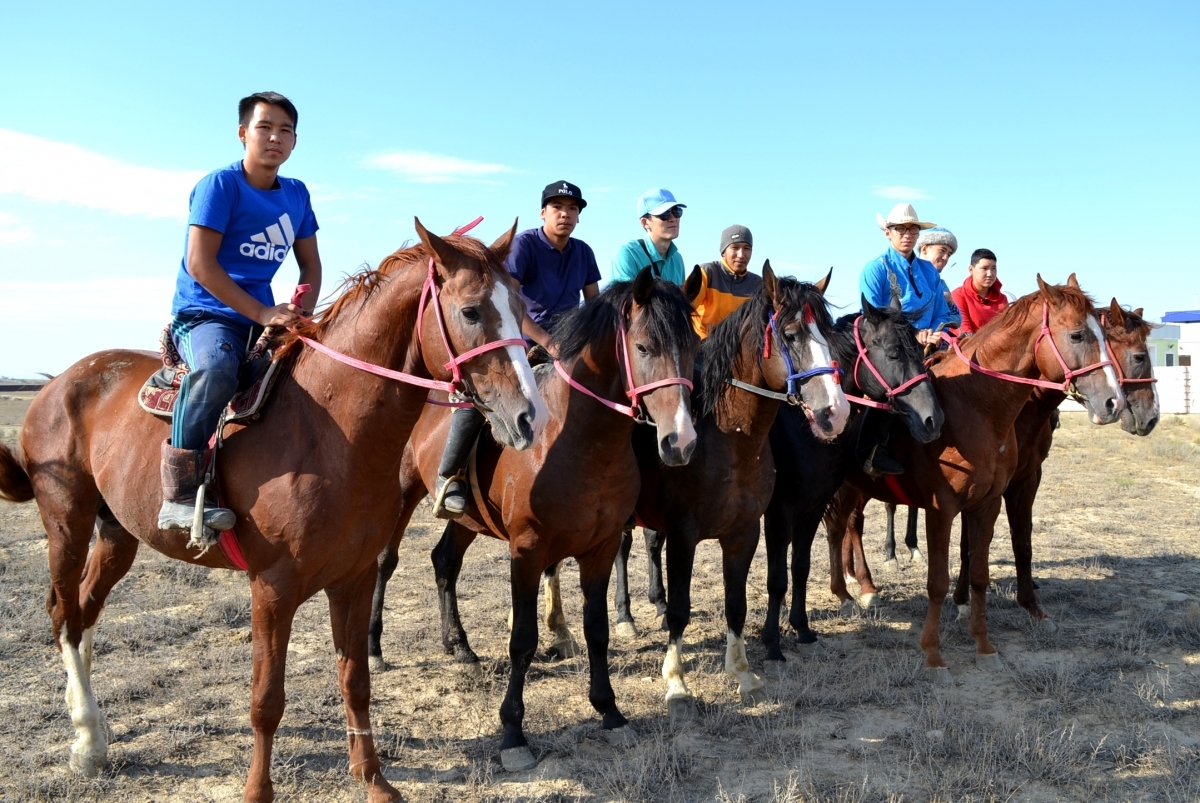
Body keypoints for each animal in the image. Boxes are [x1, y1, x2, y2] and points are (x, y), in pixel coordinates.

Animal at [0, 220, 547, 801]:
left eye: (520, 303)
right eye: (470, 311)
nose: (530, 416)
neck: (329, 432)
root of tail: (60, 382)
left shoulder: (352, 580)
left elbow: (356, 682)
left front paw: (373, 779)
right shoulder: (271, 589)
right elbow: (266, 702)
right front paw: (258, 791)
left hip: (117, 534)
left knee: (85, 610)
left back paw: (95, 730)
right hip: (67, 522)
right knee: (63, 613)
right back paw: (84, 739)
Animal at [369, 267, 700, 768]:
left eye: (694, 348)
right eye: (643, 348)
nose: (680, 442)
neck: (575, 439)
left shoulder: (601, 548)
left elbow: (597, 630)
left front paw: (610, 711)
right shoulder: (526, 552)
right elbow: (522, 640)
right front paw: (513, 733)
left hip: (466, 522)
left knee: (445, 560)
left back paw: (459, 645)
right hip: (403, 495)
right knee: (385, 562)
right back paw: (374, 648)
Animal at [758, 294, 945, 657]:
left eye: (921, 351)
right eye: (893, 352)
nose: (933, 419)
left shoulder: (815, 501)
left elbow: (801, 563)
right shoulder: (779, 510)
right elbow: (779, 572)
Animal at [825, 276, 1123, 676]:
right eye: (1076, 335)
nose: (1114, 402)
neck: (976, 407)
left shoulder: (988, 504)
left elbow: (980, 573)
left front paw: (983, 643)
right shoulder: (941, 510)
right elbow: (937, 582)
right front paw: (933, 652)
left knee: (845, 527)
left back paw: (858, 586)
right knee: (837, 527)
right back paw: (847, 593)